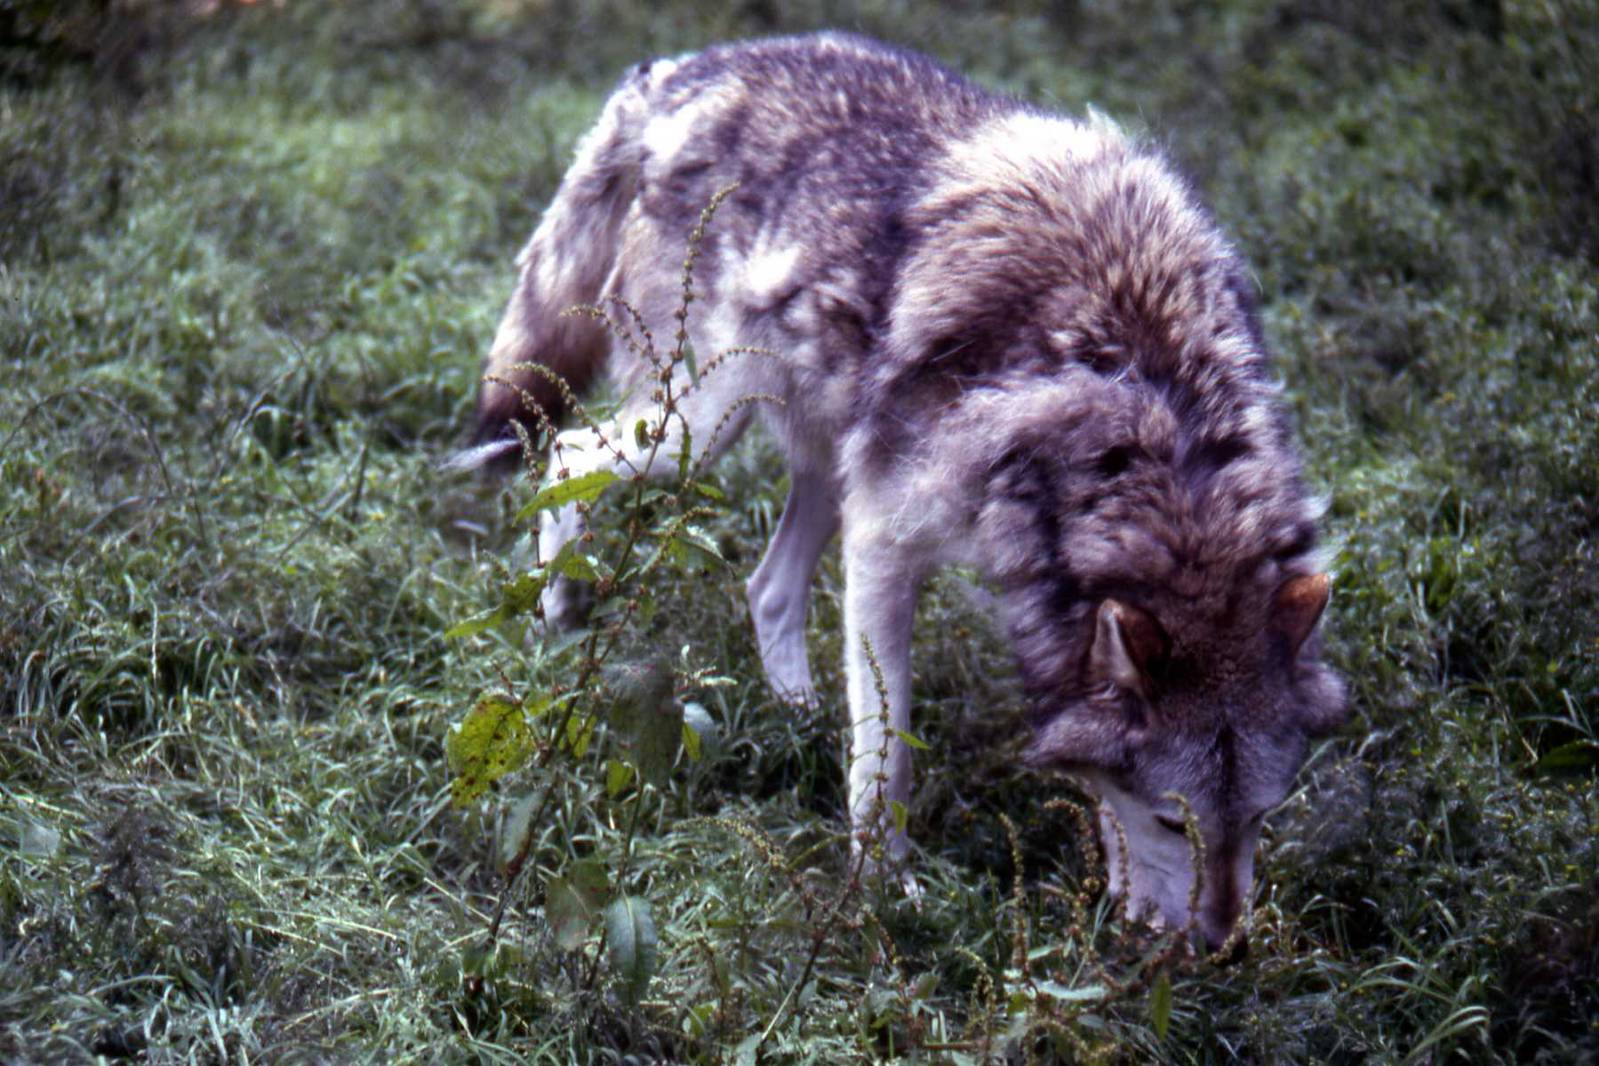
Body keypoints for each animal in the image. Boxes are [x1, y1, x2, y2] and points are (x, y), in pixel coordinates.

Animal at [460, 32, 1348, 953]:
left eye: (1258, 817)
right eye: (1178, 823)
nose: (1221, 946)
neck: (1140, 405)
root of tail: (674, 72)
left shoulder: (892, 530)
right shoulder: (885, 542)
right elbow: (888, 758)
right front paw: (884, 893)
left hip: (827, 457)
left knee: (766, 587)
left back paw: (797, 716)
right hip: (692, 434)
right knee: (566, 454)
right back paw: (560, 619)